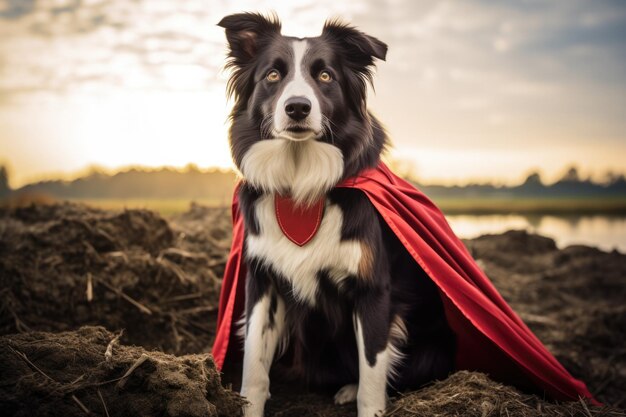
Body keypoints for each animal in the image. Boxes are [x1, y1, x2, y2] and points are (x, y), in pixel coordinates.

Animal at [218, 13, 454, 416]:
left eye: (325, 75)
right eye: (272, 75)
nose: (298, 107)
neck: (300, 184)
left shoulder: (372, 290)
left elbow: (372, 374)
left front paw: (367, 402)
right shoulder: (262, 281)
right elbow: (254, 366)